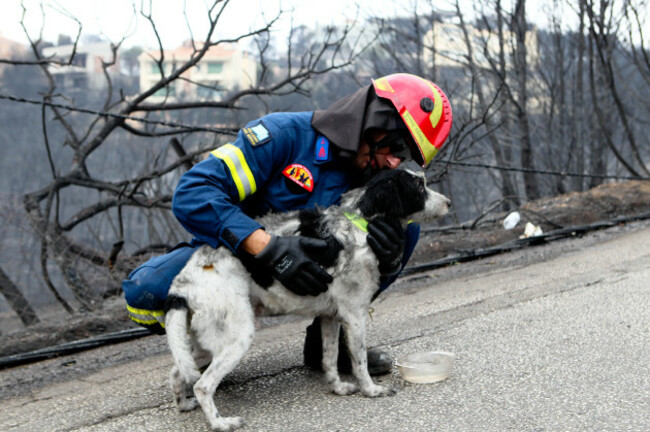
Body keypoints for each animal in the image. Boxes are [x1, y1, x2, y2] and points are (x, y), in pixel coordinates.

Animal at [163, 168, 450, 428]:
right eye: (419, 186)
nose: (448, 202)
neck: (360, 223)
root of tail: (183, 283)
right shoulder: (354, 316)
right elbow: (359, 361)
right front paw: (371, 390)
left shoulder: (330, 317)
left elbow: (329, 358)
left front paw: (338, 388)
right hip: (236, 336)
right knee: (202, 385)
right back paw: (220, 423)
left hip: (203, 339)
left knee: (177, 372)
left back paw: (184, 405)